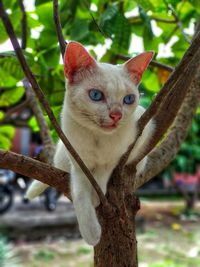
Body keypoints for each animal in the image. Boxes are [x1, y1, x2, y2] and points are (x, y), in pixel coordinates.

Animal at [26, 42, 155, 247]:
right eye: (96, 95)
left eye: (128, 99)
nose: (117, 115)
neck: (98, 138)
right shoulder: (78, 163)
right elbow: (80, 193)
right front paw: (91, 232)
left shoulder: (117, 155)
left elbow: (102, 174)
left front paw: (96, 195)